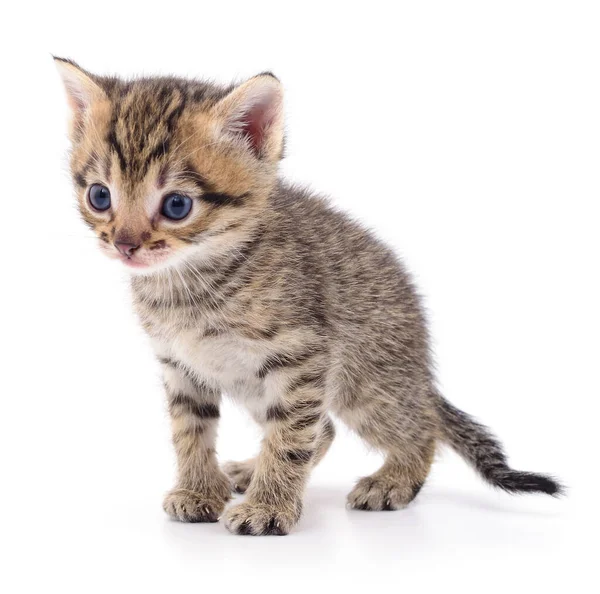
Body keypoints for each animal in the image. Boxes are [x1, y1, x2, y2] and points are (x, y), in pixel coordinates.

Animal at [56, 57, 564, 536]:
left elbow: (289, 437)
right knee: (327, 429)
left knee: (421, 428)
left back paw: (393, 480)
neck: (190, 282)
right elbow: (191, 430)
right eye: (100, 196)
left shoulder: (301, 357)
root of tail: (420, 367)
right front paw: (199, 490)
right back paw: (252, 469)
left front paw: (268, 507)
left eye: (177, 205)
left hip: (367, 385)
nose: (124, 244)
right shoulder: (180, 364)